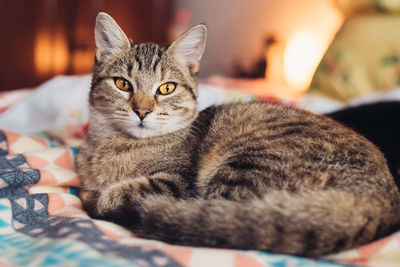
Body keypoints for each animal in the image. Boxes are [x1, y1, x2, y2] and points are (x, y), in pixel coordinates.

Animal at [75, 12, 400, 258]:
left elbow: (117, 192)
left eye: (166, 88)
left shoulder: (179, 183)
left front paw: (96, 196)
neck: (112, 147)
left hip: (247, 167)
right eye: (122, 84)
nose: (142, 111)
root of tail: (383, 197)